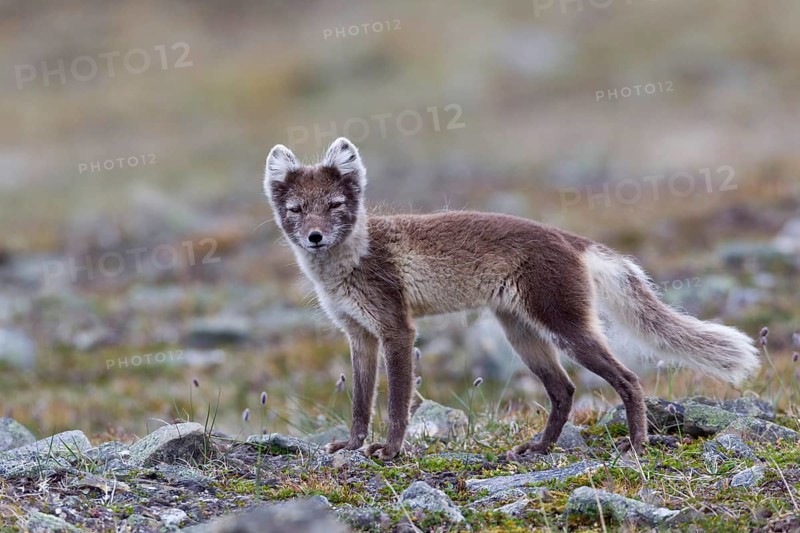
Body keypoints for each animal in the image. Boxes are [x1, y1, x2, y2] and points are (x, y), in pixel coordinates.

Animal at [262, 137, 761, 460]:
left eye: (334, 206)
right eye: (297, 210)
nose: (314, 237)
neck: (352, 260)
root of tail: (569, 238)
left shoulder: (397, 329)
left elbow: (397, 402)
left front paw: (391, 449)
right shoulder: (359, 336)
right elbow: (360, 402)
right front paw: (351, 445)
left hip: (566, 327)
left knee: (629, 379)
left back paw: (635, 444)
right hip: (521, 334)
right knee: (564, 390)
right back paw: (541, 448)